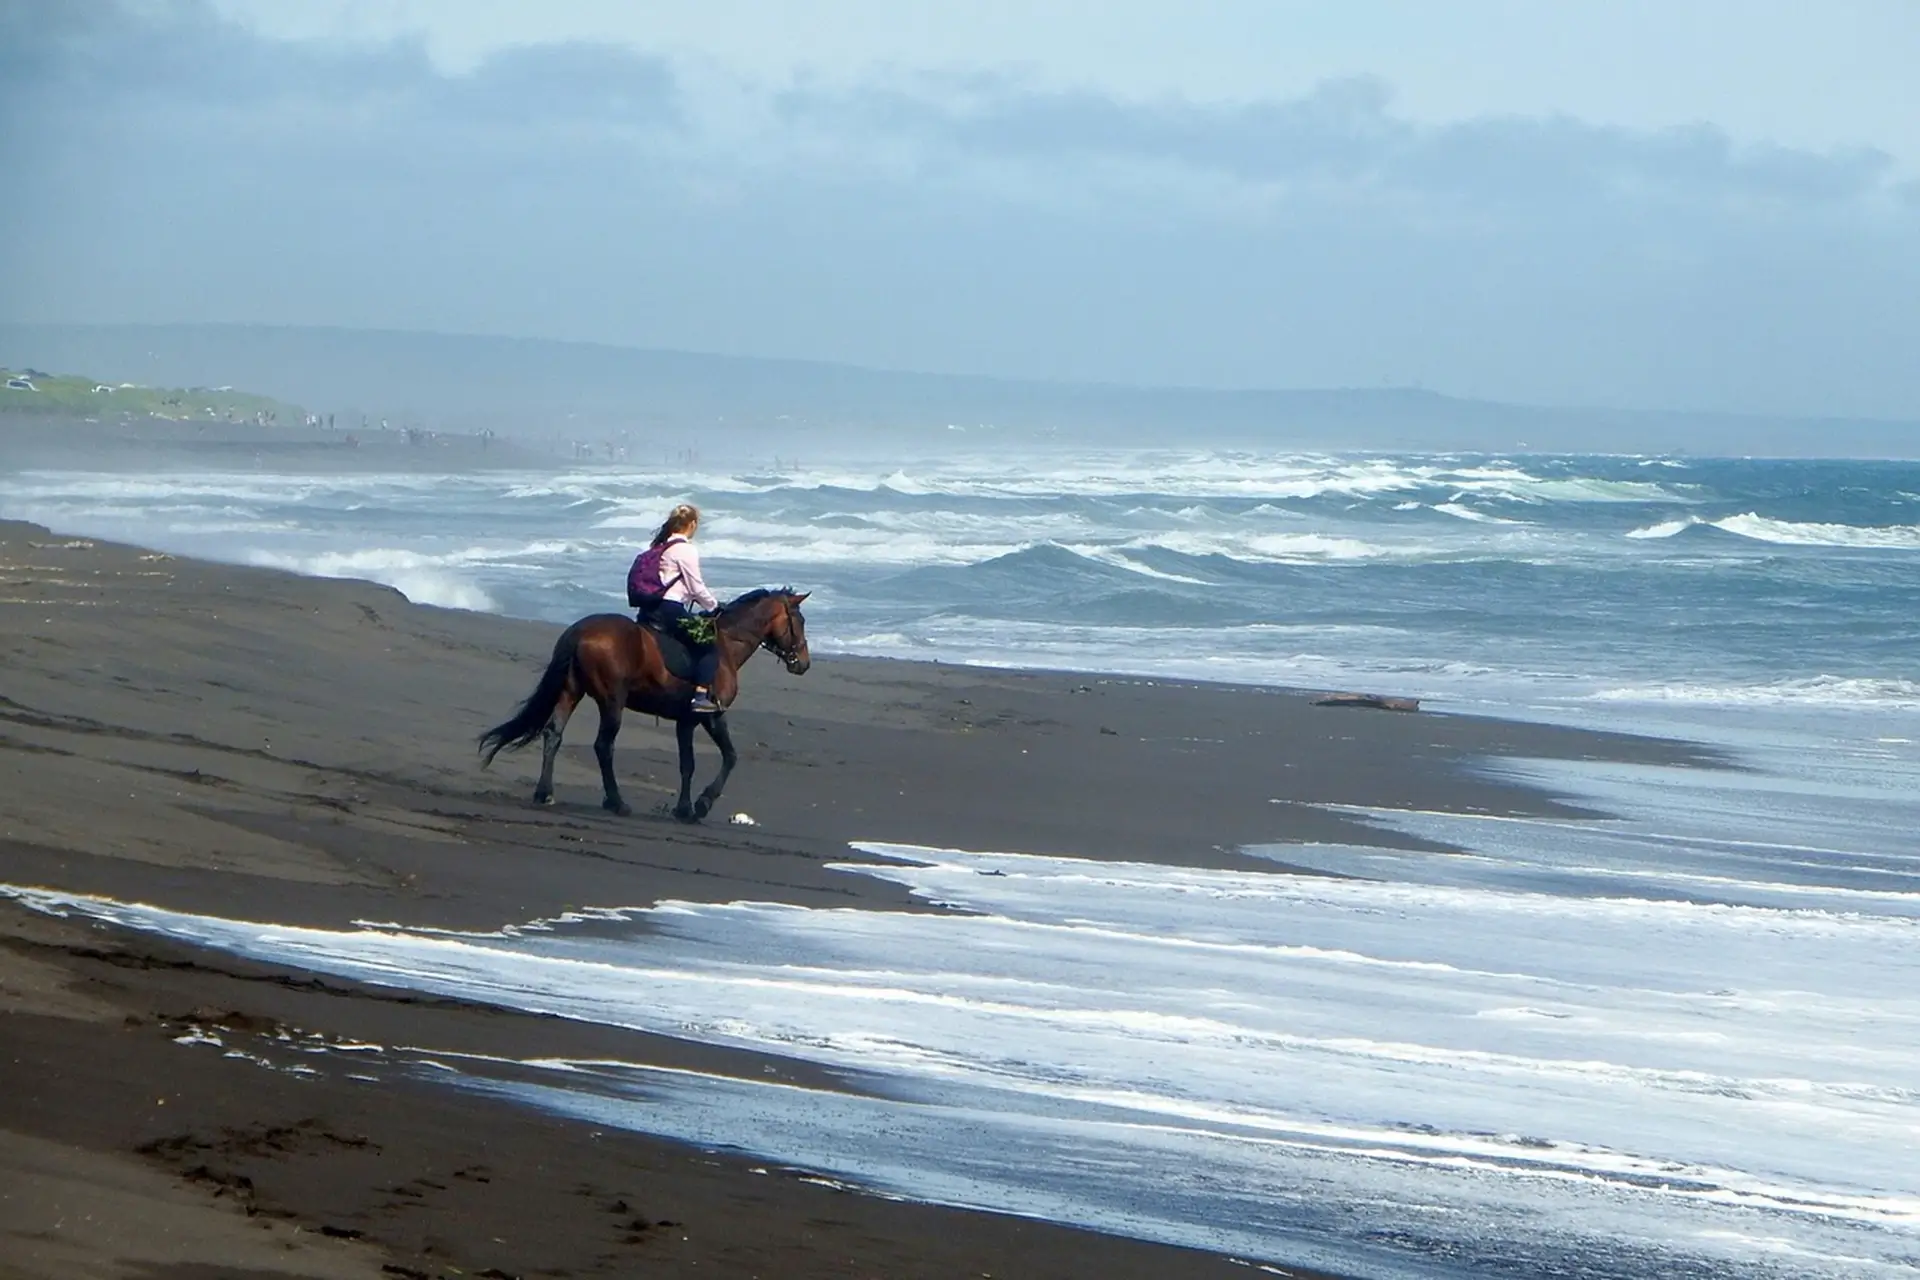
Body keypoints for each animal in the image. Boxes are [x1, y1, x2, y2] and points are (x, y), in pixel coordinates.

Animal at [478, 588, 810, 821]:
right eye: (801, 621)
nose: (804, 664)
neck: (726, 644)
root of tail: (579, 631)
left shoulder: (685, 721)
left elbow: (689, 764)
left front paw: (684, 808)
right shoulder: (710, 716)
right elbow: (728, 757)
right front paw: (701, 804)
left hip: (570, 692)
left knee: (553, 734)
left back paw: (544, 792)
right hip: (612, 701)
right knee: (603, 746)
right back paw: (616, 802)